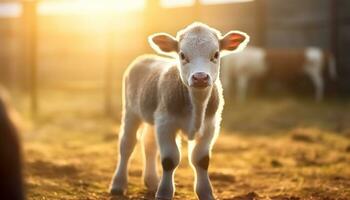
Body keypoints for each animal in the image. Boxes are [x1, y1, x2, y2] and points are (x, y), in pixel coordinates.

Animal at [109, 22, 249, 199]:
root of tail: (145, 57)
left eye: (216, 54)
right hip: (131, 111)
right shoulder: (166, 123)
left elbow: (202, 160)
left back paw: (152, 181)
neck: (197, 106)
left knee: (149, 143)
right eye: (182, 55)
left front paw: (206, 193)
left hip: (152, 118)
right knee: (126, 145)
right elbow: (169, 160)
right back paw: (118, 185)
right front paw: (164, 193)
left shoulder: (210, 126)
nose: (200, 77)